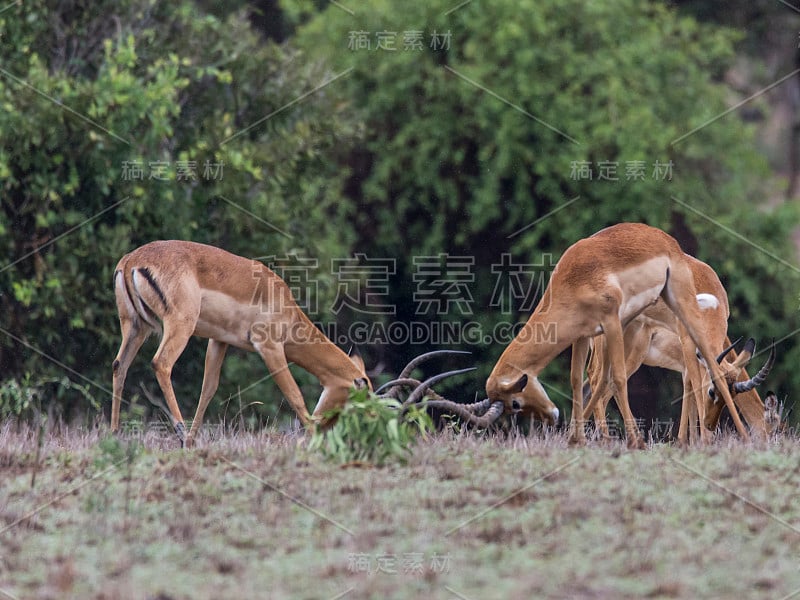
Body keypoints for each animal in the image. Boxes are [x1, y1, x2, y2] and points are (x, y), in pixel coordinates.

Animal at [484, 223, 752, 448]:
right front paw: (576, 440)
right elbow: (575, 379)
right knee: (599, 378)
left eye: (515, 403)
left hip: (679, 312)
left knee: (713, 368)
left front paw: (638, 442)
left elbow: (621, 379)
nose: (552, 416)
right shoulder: (582, 335)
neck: (575, 279)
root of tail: (666, 239)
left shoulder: (610, 322)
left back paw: (741, 437)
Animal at [580, 254, 776, 446]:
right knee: (598, 379)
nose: (709, 424)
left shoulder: (689, 365)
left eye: (732, 395)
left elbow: (689, 392)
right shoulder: (688, 347)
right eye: (711, 392)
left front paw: (688, 441)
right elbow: (695, 388)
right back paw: (605, 439)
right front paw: (701, 441)